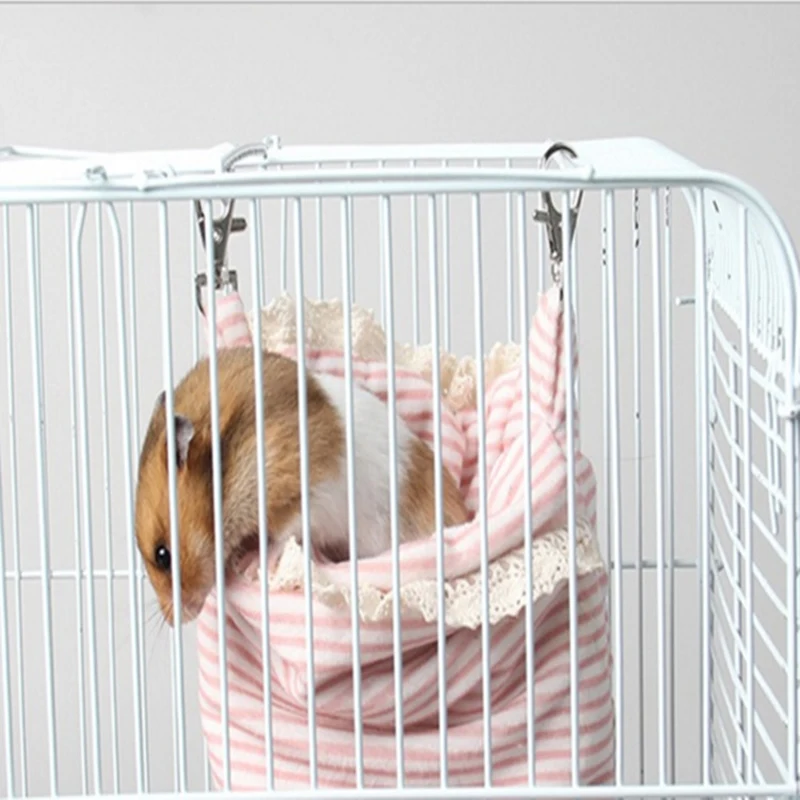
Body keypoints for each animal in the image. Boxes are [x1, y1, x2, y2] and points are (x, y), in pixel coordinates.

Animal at [134, 346, 470, 625]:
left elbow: (282, 535)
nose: (177, 621)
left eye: (162, 556)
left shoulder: (302, 493)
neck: (225, 472)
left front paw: (249, 564)